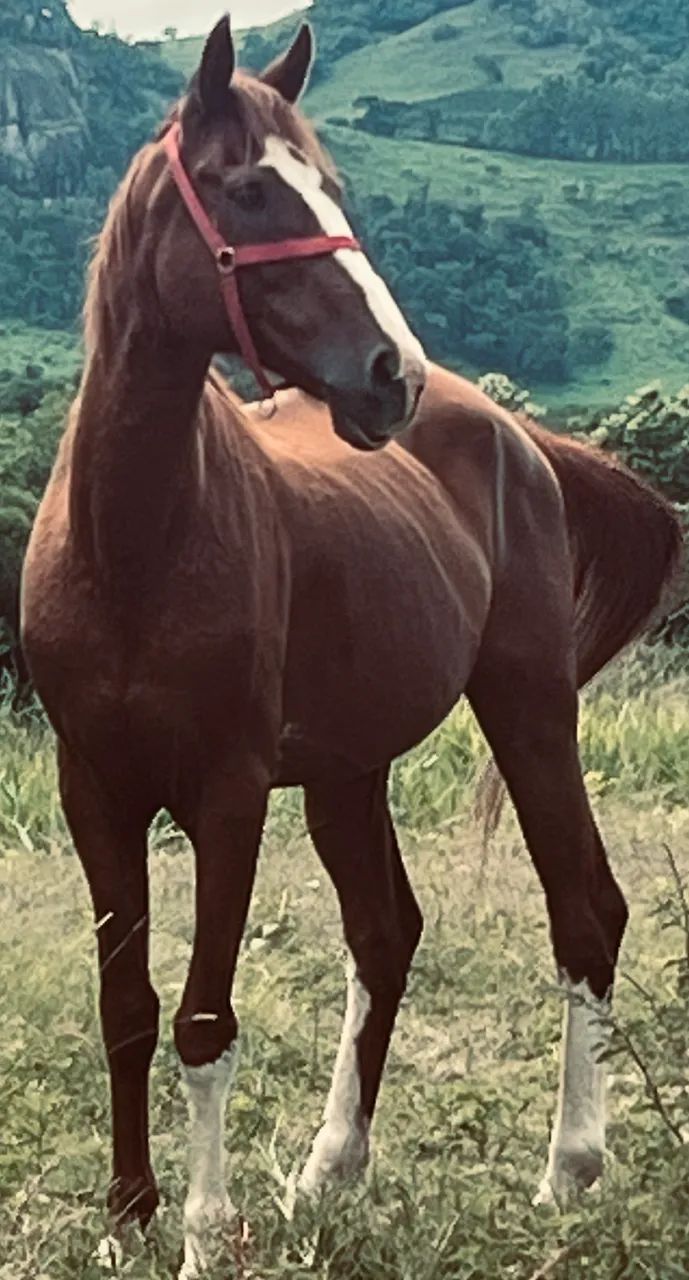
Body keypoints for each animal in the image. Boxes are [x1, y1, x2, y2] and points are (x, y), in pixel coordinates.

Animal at [20, 16, 682, 1277]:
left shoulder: (227, 794)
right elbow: (125, 1005)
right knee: (385, 931)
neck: (134, 545)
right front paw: (129, 1215)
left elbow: (202, 1019)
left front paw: (202, 1230)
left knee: (584, 906)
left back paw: (566, 1167)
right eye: (245, 188)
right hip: (345, 768)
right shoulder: (96, 791)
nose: (392, 373)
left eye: (330, 185)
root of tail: (512, 431)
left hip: (527, 707)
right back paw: (330, 1167)